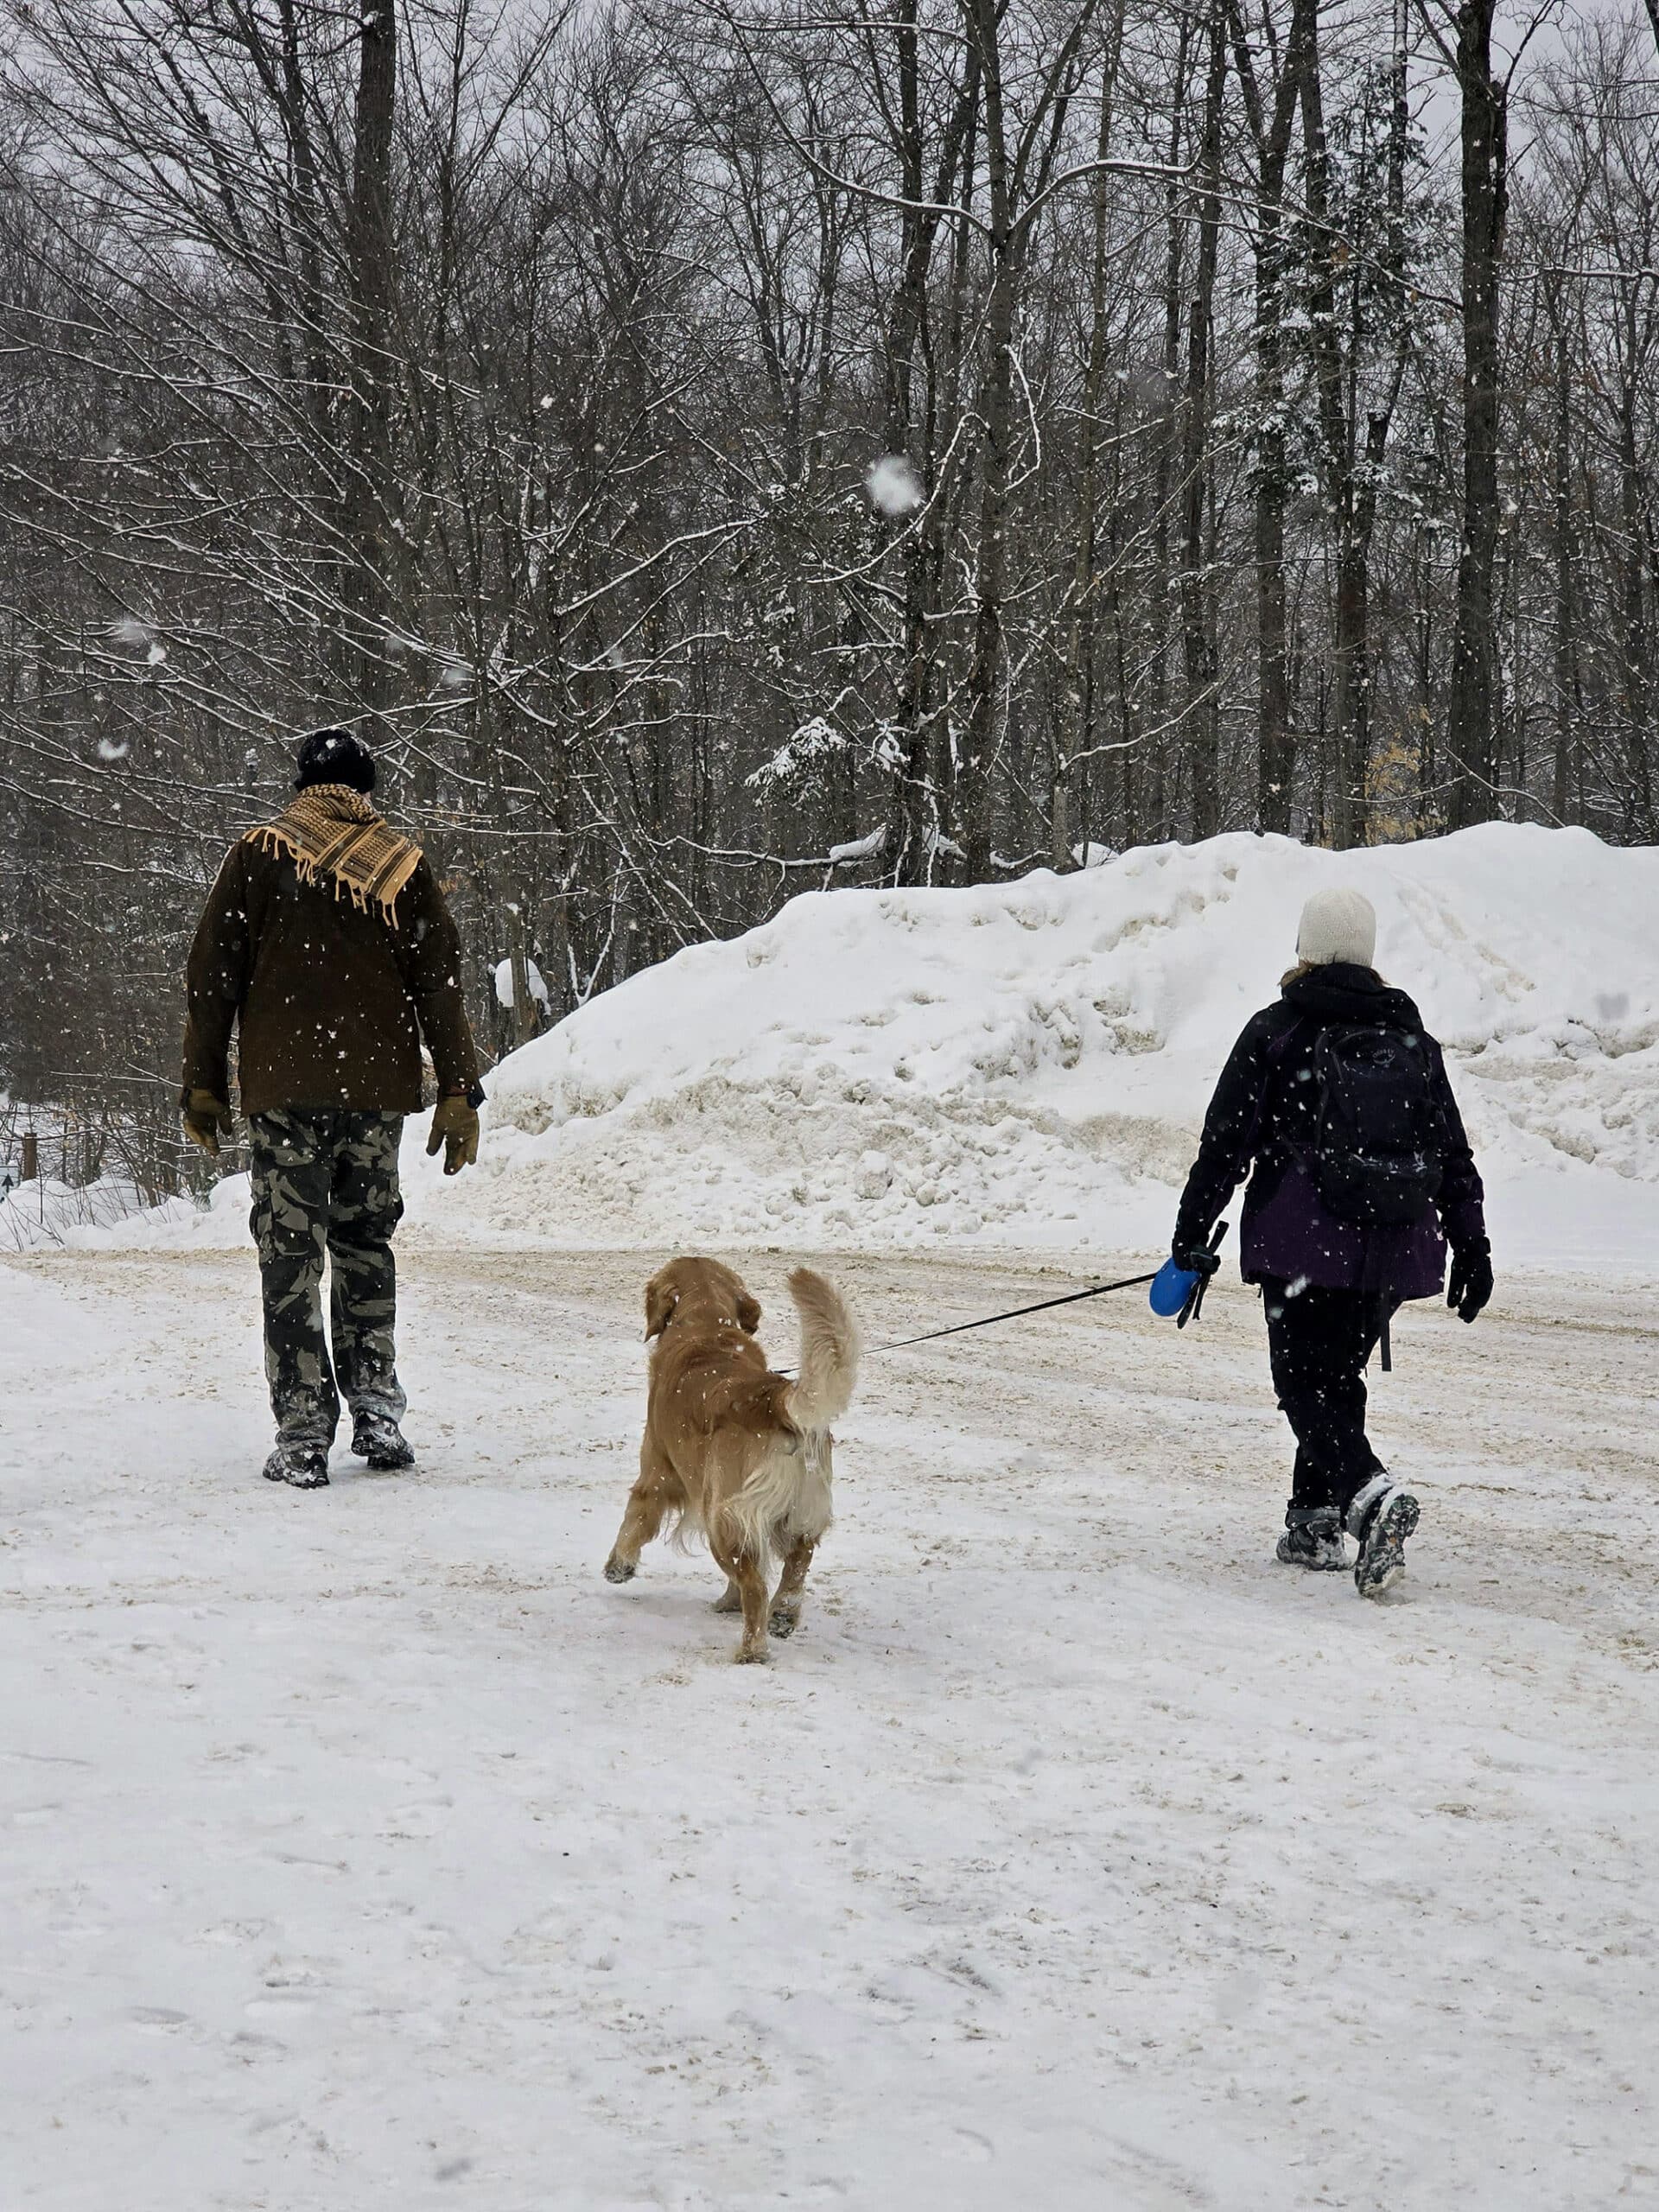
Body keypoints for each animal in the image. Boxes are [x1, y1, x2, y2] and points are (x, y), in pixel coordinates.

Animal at [610, 1265, 862, 1663]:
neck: (707, 1324)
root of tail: (774, 1399)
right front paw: (731, 1602)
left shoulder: (657, 1470)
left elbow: (635, 1519)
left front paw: (619, 1566)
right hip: (797, 1510)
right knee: (798, 1560)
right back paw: (783, 1615)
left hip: (722, 1517)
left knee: (755, 1585)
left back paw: (752, 1650)